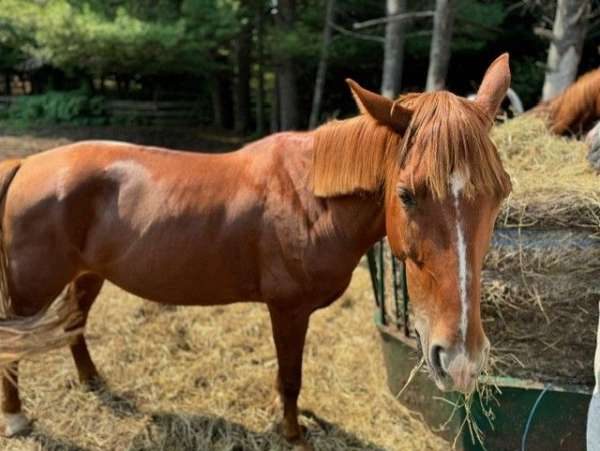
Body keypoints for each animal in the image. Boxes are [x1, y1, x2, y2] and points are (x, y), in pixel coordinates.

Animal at [0, 54, 510, 446]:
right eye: (406, 194)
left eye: (500, 193)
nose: (462, 362)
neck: (311, 198)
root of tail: (25, 163)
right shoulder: (287, 310)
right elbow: (290, 378)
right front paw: (294, 434)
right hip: (30, 295)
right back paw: (17, 417)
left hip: (88, 274)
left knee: (75, 322)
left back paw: (92, 380)